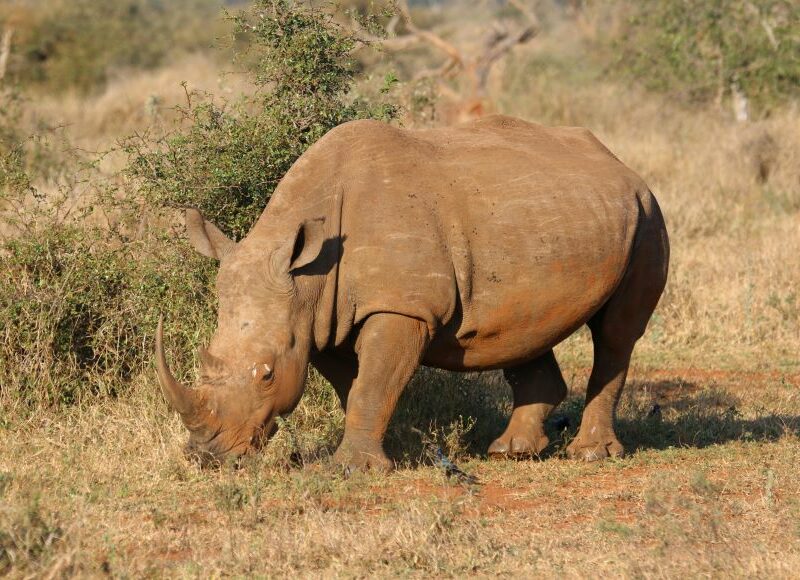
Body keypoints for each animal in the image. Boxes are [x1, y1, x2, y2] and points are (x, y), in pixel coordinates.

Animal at [156, 115, 669, 470]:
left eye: (266, 375)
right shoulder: (322, 320)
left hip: (646, 214)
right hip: (549, 219)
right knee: (525, 326)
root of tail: (621, 164)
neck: (308, 278)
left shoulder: (401, 307)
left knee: (616, 335)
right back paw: (511, 451)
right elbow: (357, 386)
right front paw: (388, 451)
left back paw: (590, 454)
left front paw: (351, 469)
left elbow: (372, 382)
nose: (207, 455)